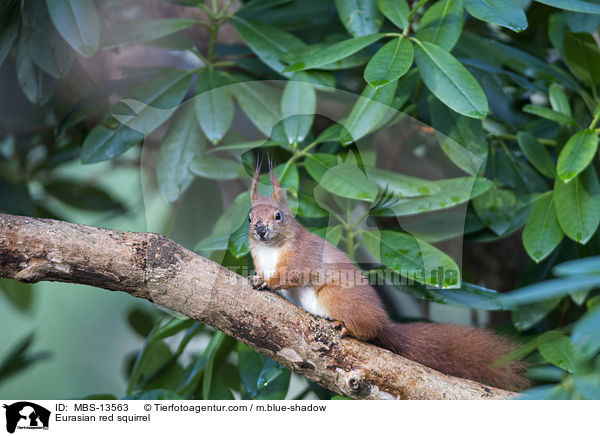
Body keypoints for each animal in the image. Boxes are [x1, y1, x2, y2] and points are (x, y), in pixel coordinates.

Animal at [246, 161, 528, 392]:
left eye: (278, 216)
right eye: (249, 217)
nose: (260, 230)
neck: (270, 249)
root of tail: (383, 322)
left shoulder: (302, 255)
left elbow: (293, 274)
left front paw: (266, 282)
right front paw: (258, 276)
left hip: (335, 297)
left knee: (367, 331)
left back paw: (345, 326)